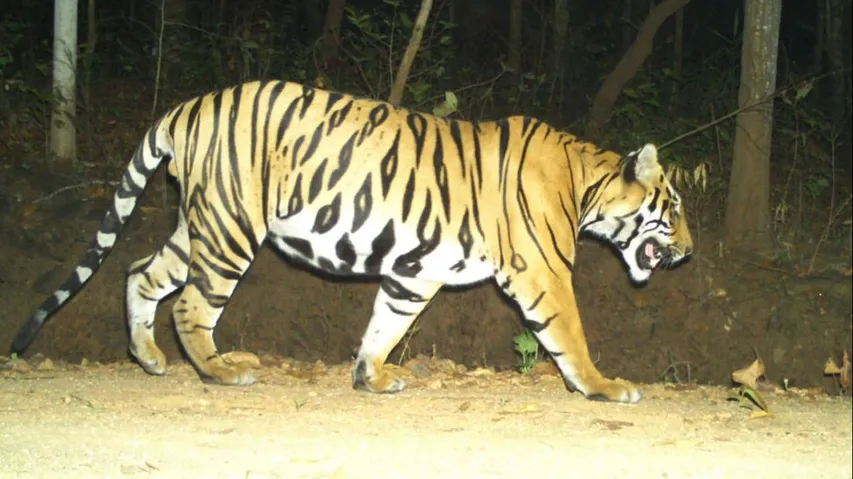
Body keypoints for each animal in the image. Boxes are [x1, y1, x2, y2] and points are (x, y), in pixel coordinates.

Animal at [10, 80, 692, 403]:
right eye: (676, 208)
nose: (690, 251)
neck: (587, 184)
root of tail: (189, 106)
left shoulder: (414, 273)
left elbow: (385, 325)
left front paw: (371, 378)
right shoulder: (543, 271)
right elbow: (570, 337)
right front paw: (604, 387)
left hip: (200, 224)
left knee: (139, 272)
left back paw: (149, 358)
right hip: (231, 228)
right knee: (190, 304)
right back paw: (220, 371)